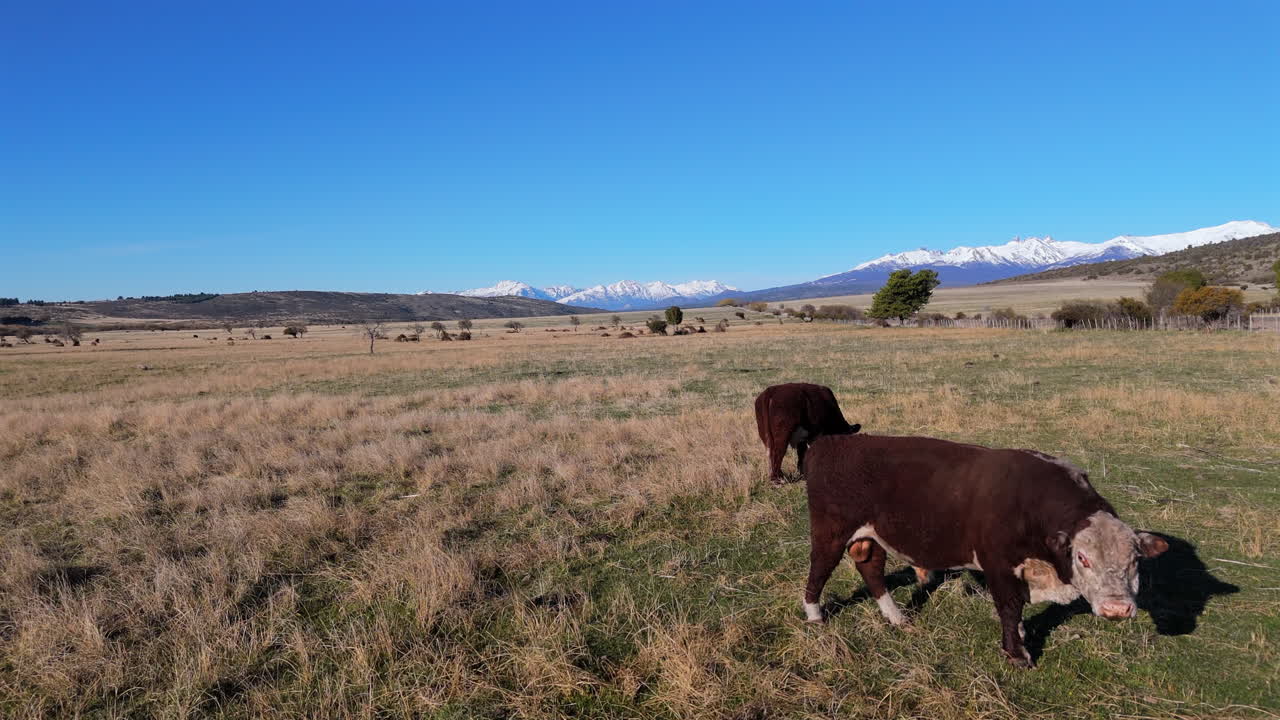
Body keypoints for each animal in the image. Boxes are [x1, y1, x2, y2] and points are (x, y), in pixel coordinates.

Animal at [801, 434, 1168, 667]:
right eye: (1083, 558)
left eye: (1135, 561)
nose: (1116, 608)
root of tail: (832, 442)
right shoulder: (999, 565)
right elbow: (1009, 607)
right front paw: (1017, 653)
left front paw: (1021, 635)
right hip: (830, 533)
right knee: (819, 568)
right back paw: (815, 615)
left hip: (873, 536)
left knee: (871, 568)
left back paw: (897, 618)